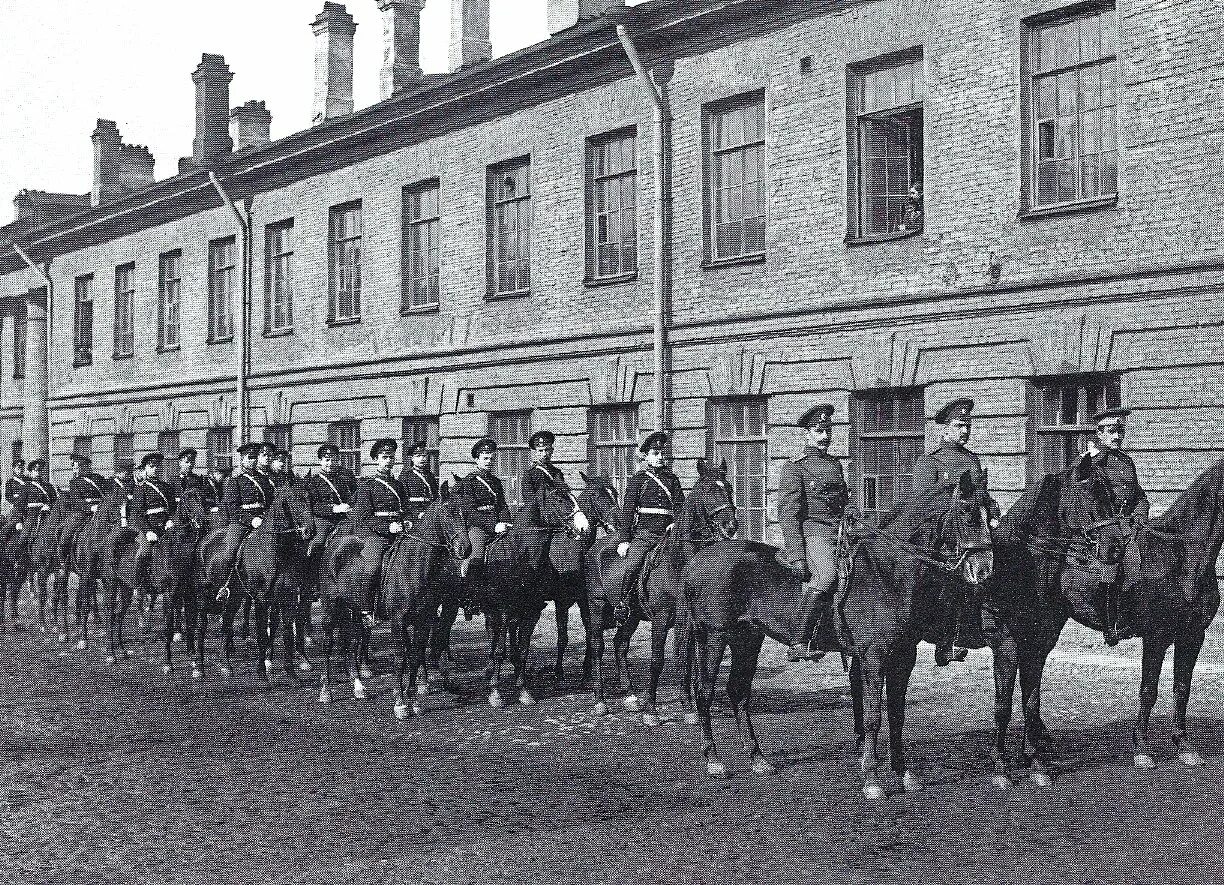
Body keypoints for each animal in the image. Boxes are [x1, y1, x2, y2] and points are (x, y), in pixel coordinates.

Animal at [192, 484, 315, 685]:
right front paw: (262, 673)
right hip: (203, 596)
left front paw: (291, 674)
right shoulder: (261, 601)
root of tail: (203, 541)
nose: (310, 531)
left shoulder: (287, 599)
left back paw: (226, 666)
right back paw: (199, 667)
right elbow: (262, 636)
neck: (275, 551)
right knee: (201, 627)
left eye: (310, 498)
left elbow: (288, 635)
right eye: (295, 499)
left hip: (234, 598)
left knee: (226, 624)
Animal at [582, 460, 734, 724]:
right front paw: (651, 710)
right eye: (709, 491)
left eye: (729, 488)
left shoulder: (688, 622)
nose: (731, 526)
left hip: (630, 615)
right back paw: (600, 701)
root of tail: (596, 548)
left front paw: (688, 707)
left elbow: (686, 659)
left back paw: (631, 697)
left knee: (620, 644)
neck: (679, 563)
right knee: (597, 646)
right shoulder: (661, 620)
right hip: (596, 605)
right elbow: (657, 659)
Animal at [680, 470, 993, 798]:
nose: (985, 570)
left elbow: (897, 715)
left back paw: (758, 759)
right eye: (968, 513)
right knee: (704, 691)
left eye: (992, 513)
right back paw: (714, 760)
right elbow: (873, 716)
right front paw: (872, 780)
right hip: (714, 637)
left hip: (748, 639)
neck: (888, 570)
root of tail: (696, 562)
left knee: (738, 692)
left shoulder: (903, 656)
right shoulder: (873, 657)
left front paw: (904, 773)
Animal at [979, 452, 1224, 783]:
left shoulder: (1193, 634)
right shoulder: (1157, 636)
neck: (1181, 555)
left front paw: (1184, 746)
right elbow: (1149, 690)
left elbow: (1182, 690)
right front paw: (1142, 750)